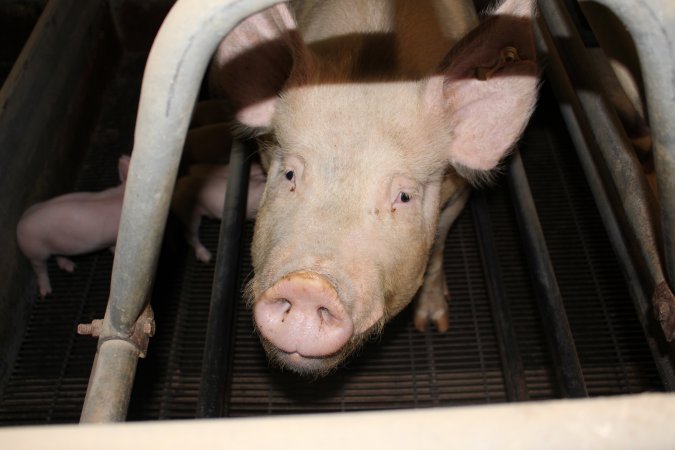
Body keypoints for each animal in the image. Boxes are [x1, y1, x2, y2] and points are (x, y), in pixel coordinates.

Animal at [16, 156, 131, 298]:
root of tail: (20, 223)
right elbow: (115, 249)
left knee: (57, 255)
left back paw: (71, 267)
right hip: (35, 252)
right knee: (40, 269)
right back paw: (46, 293)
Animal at [211, 0, 540, 376]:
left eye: (404, 196)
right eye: (290, 175)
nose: (309, 285)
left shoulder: (458, 193)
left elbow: (437, 245)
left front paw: (434, 326)